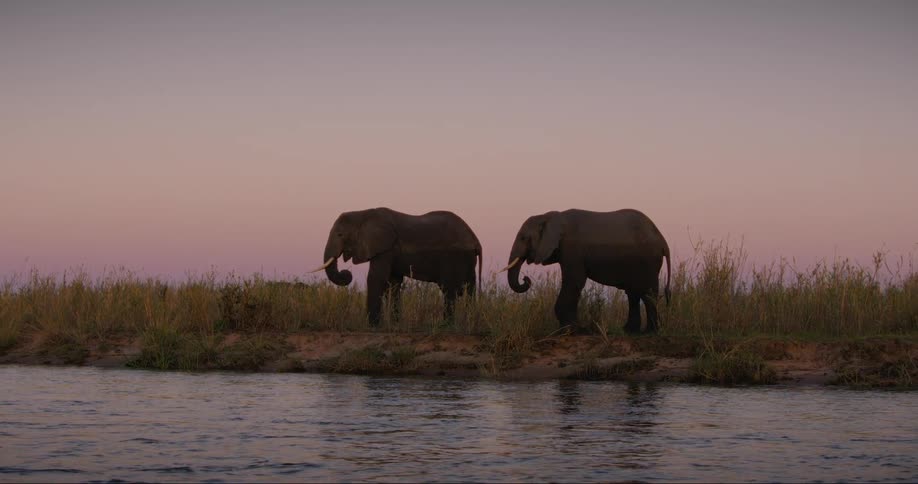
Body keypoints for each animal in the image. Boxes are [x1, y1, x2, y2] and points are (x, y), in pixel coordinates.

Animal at [312, 207, 482, 326]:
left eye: (340, 234)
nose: (346, 273)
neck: (363, 213)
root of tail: (475, 239)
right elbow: (394, 283)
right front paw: (395, 324)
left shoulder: (385, 248)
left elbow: (376, 278)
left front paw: (372, 326)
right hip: (467, 260)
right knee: (469, 288)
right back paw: (469, 322)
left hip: (454, 257)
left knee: (449, 289)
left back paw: (446, 325)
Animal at [501, 209, 671, 334]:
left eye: (523, 238)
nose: (526, 279)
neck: (549, 216)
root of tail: (663, 240)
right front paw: (573, 329)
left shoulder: (572, 248)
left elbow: (573, 281)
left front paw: (568, 331)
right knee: (633, 292)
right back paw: (629, 331)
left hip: (649, 260)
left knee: (648, 292)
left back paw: (650, 332)